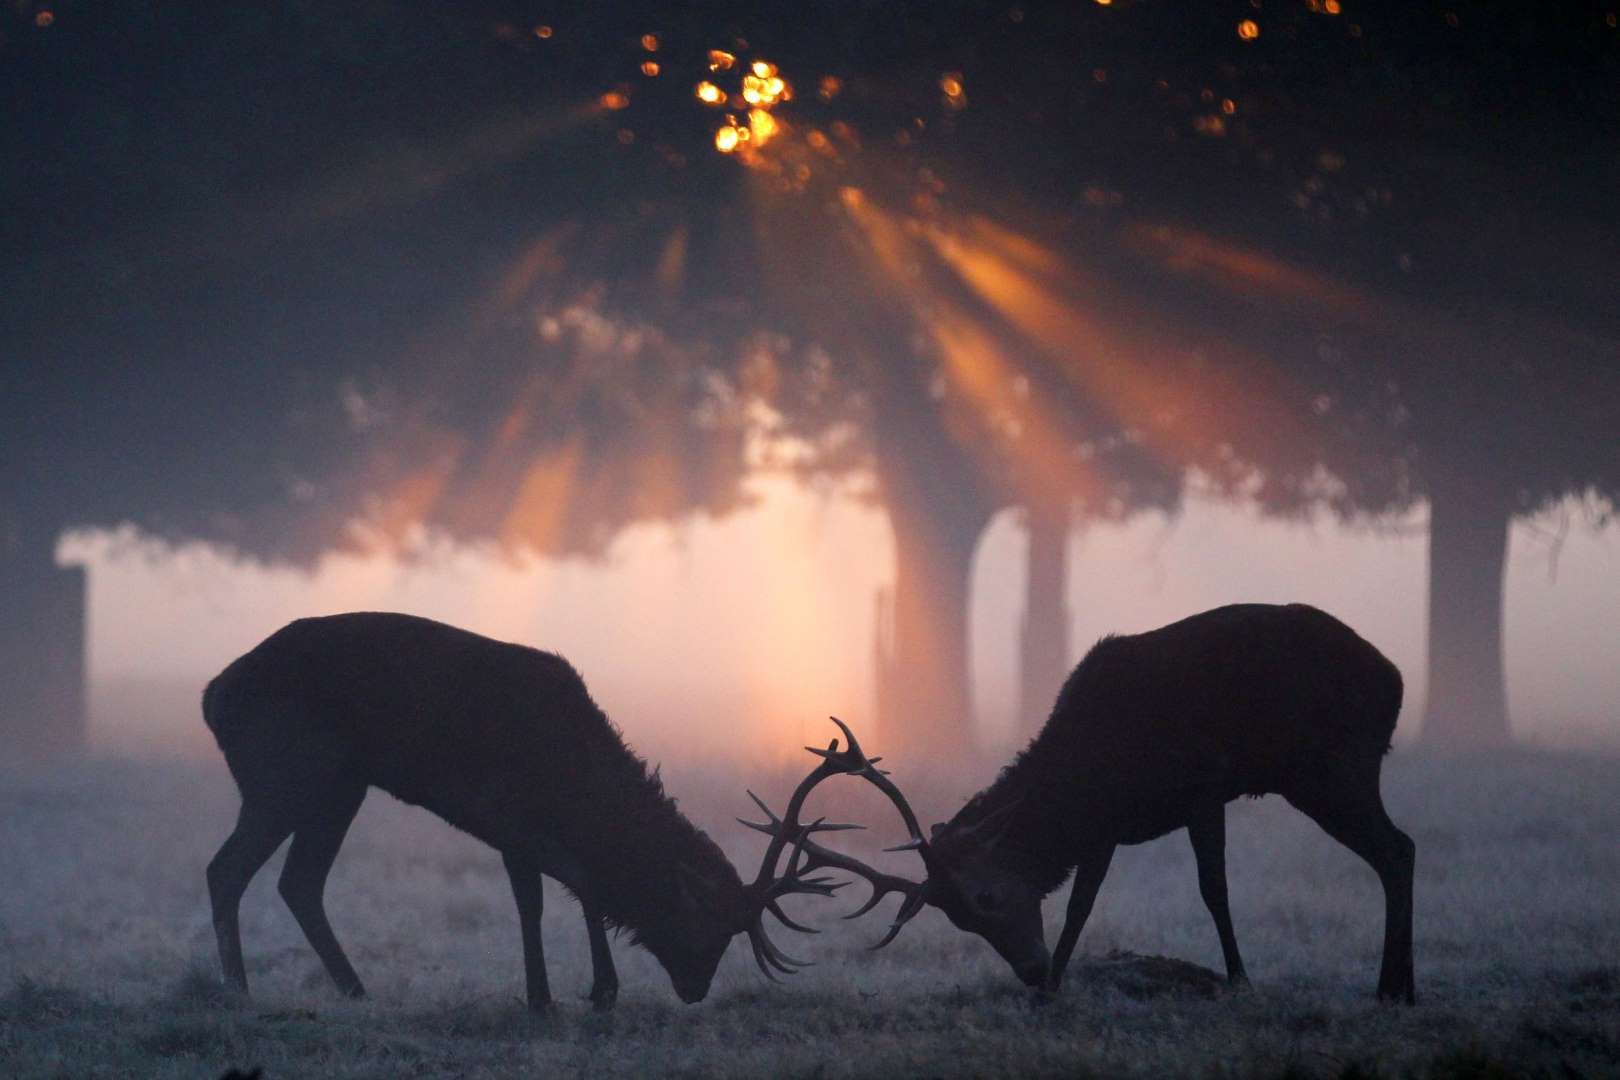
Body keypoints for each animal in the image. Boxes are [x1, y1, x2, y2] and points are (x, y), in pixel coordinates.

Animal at [202, 612, 855, 1010]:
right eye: (709, 923)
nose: (696, 990)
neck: (570, 782)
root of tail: (212, 697)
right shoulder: (508, 818)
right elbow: (549, 897)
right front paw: (569, 995)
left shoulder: (526, 830)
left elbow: (574, 892)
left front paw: (586, 992)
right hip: (285, 774)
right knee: (226, 869)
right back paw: (239, 990)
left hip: (339, 786)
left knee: (298, 882)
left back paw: (354, 989)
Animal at [745, 604, 1417, 1004]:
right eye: (960, 920)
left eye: (986, 897)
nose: (1030, 970)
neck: (1093, 774)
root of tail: (1395, 680)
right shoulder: (1107, 826)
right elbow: (1084, 903)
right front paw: (1054, 988)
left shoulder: (1202, 789)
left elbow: (1211, 890)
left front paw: (1239, 979)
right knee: (1398, 848)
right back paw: (1397, 987)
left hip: (1331, 768)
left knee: (1397, 848)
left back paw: (1396, 989)